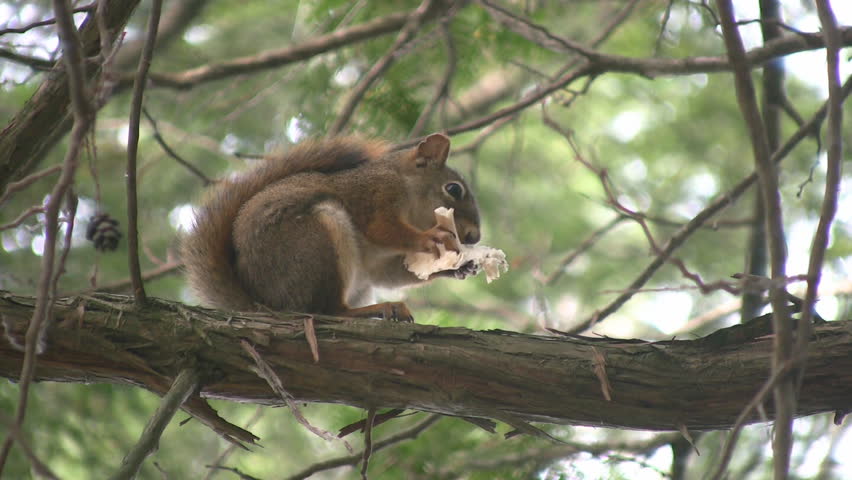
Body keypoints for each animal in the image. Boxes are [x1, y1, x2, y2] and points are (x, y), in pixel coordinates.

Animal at [180, 133, 480, 322]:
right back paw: (380, 308)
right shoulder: (375, 194)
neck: (404, 183)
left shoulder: (380, 264)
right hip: (316, 242)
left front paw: (460, 266)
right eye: (454, 189)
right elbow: (382, 227)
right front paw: (430, 238)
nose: (474, 237)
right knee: (327, 309)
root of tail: (264, 303)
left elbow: (390, 274)